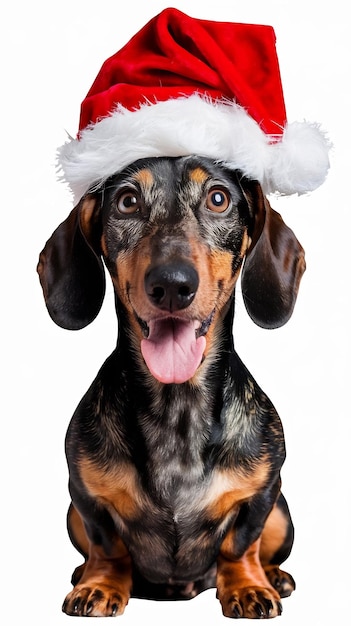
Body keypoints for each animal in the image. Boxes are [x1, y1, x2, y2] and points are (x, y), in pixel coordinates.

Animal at [37, 155, 306, 616]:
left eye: (218, 198)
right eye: (127, 201)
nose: (172, 285)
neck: (176, 407)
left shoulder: (264, 494)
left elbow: (240, 545)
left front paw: (247, 586)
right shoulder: (84, 496)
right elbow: (107, 545)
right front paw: (101, 585)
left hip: (283, 516)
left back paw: (272, 577)